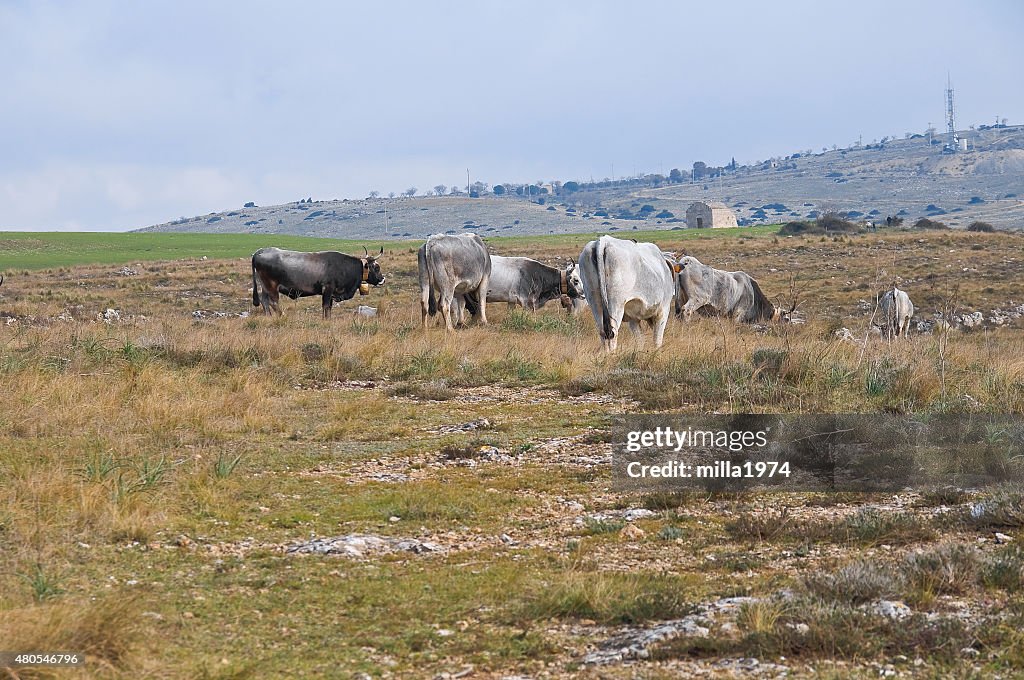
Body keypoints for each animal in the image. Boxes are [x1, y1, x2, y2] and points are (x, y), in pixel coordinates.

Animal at [253, 246, 385, 319]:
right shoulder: (327, 289)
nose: (382, 279)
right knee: (274, 302)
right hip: (271, 285)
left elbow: (329, 308)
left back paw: (269, 317)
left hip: (264, 287)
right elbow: (326, 306)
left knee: (265, 302)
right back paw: (282, 316)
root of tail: (259, 252)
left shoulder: (332, 293)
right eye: (376, 267)